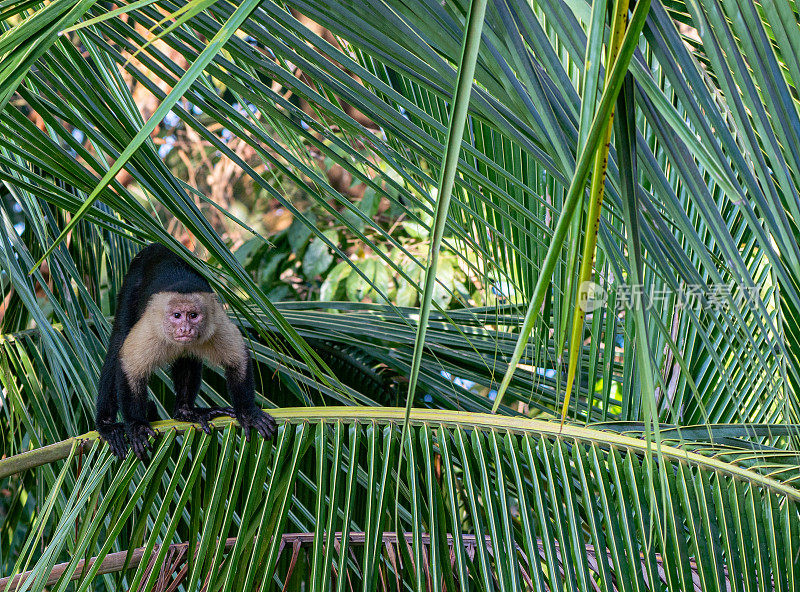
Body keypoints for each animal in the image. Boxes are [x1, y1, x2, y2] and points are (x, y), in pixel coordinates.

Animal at [96, 243, 278, 460]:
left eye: (193, 315)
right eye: (177, 315)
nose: (185, 329)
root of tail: (157, 245)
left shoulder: (216, 322)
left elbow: (238, 359)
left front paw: (248, 412)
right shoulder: (151, 328)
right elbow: (130, 365)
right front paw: (137, 426)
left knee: (188, 357)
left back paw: (185, 412)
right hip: (133, 279)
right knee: (118, 341)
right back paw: (107, 426)